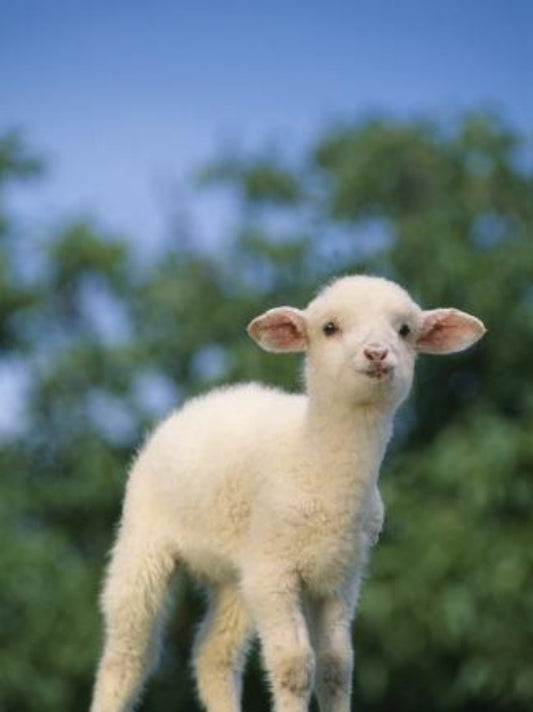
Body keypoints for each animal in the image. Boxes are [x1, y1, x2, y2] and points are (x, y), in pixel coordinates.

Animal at [89, 274, 486, 712]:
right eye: (329, 328)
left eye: (404, 330)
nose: (377, 353)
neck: (312, 461)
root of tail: (195, 405)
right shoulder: (274, 571)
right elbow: (295, 665)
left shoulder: (340, 575)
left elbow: (336, 665)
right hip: (144, 540)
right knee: (126, 655)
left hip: (237, 575)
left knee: (214, 654)